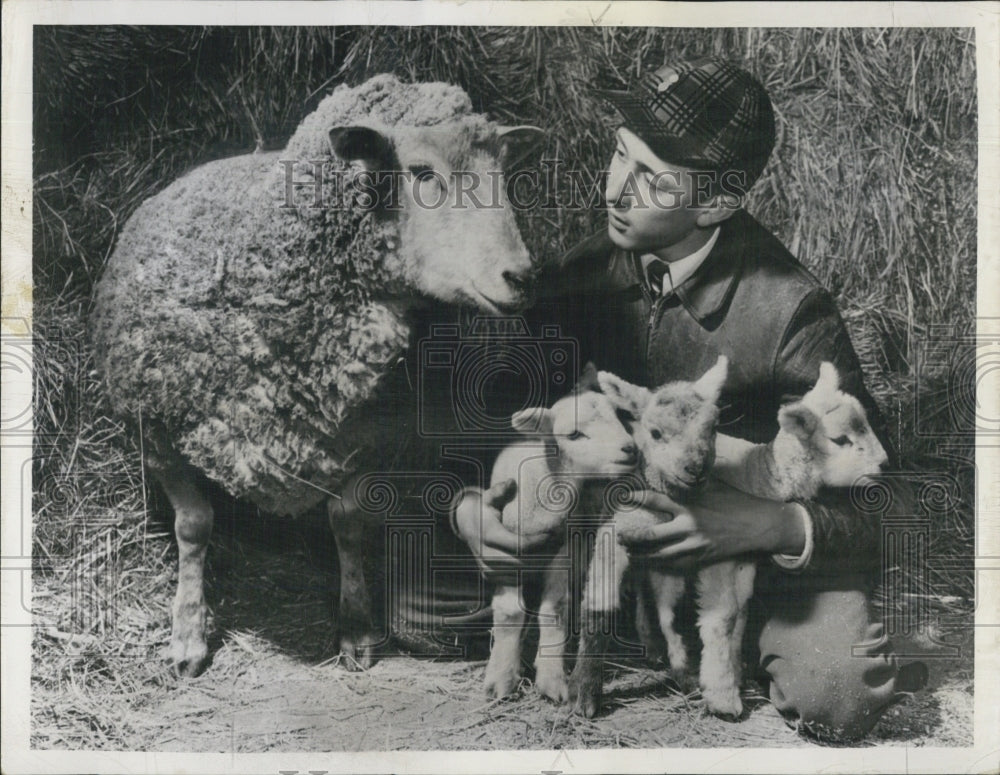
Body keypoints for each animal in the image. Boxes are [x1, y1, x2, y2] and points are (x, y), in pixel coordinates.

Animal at [93, 74, 544, 680]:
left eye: (503, 173)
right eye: (423, 173)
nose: (521, 277)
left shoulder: (367, 436)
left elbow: (348, 523)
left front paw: (356, 627)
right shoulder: (159, 430)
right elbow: (193, 526)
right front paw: (188, 632)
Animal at [486, 364, 640, 704]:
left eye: (618, 416)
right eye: (573, 434)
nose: (630, 449)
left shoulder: (563, 553)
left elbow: (554, 610)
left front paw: (552, 679)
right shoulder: (506, 555)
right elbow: (509, 612)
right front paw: (502, 678)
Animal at [568, 354, 732, 720]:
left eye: (714, 427)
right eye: (656, 433)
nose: (695, 468)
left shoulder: (669, 554)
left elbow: (669, 617)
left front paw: (684, 675)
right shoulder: (612, 536)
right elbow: (599, 609)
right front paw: (584, 692)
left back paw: (653, 647)